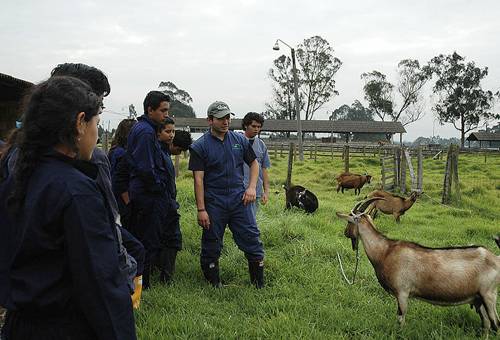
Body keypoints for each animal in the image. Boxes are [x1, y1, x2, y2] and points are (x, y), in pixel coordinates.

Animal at [336, 198, 500, 330]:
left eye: (349, 221)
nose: (345, 233)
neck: (385, 251)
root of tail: (495, 258)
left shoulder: (402, 292)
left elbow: (400, 318)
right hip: (479, 299)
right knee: (487, 323)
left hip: (489, 294)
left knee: (495, 323)